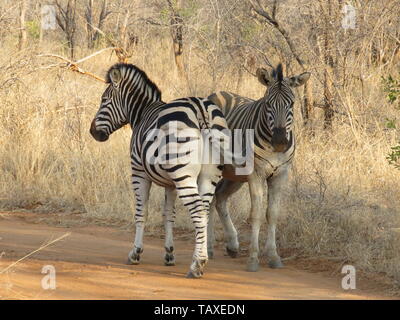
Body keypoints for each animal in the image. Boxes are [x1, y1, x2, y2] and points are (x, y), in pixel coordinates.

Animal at [90, 63, 228, 278]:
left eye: (104, 100)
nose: (93, 132)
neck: (142, 113)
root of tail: (200, 108)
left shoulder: (138, 172)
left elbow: (141, 212)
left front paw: (135, 253)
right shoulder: (170, 182)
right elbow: (168, 215)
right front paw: (169, 254)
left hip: (183, 175)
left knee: (198, 211)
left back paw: (197, 264)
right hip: (207, 175)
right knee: (204, 211)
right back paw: (200, 259)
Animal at [208, 63, 310, 272]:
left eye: (292, 104)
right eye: (268, 104)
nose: (280, 141)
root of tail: (216, 93)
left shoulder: (280, 175)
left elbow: (272, 214)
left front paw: (273, 256)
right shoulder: (255, 174)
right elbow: (255, 215)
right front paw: (253, 259)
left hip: (234, 174)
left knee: (219, 197)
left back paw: (232, 245)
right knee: (207, 199)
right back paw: (208, 248)